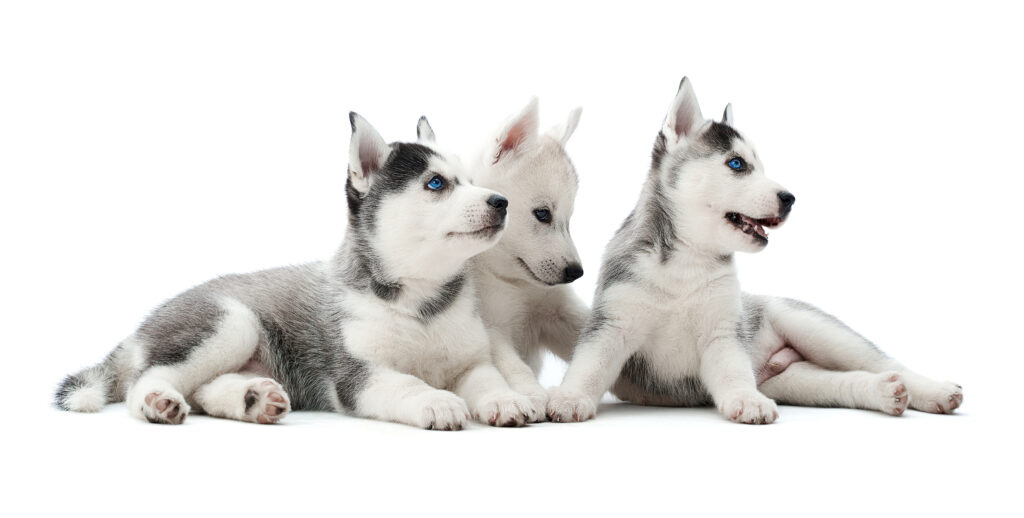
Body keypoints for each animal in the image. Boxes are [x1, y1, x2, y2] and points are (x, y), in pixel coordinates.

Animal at [468, 99, 589, 419]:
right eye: (542, 213)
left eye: (569, 220)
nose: (576, 272)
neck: (515, 283)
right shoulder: (489, 324)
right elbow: (511, 364)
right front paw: (530, 394)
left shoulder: (560, 311)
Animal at [548, 77, 962, 425]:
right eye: (737, 164)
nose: (790, 198)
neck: (686, 262)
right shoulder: (611, 325)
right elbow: (589, 366)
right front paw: (568, 397)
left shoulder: (723, 334)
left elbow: (732, 372)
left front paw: (746, 400)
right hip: (795, 380)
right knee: (842, 382)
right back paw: (884, 392)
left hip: (815, 329)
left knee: (881, 360)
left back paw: (935, 390)